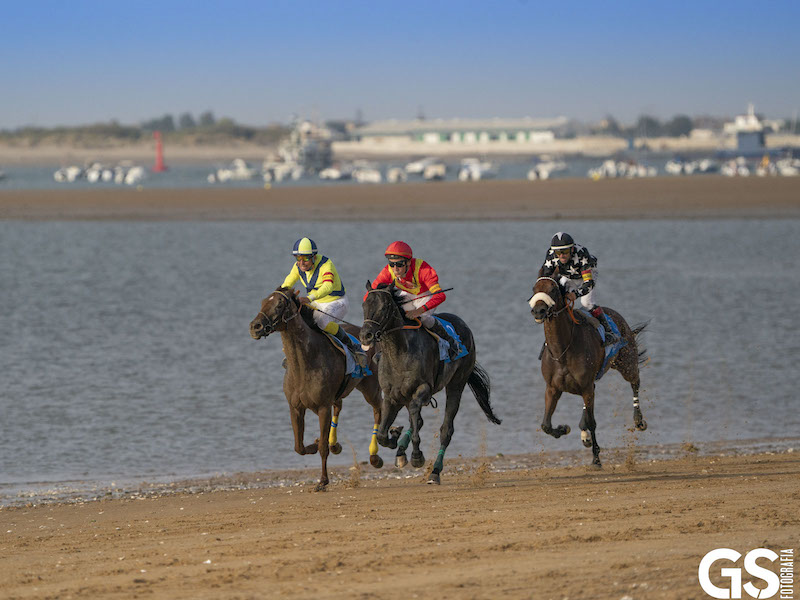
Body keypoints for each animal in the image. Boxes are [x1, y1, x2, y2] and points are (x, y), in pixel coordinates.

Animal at [248, 288, 390, 490]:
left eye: (279, 304)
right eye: (262, 302)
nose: (255, 326)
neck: (304, 364)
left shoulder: (323, 407)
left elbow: (322, 447)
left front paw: (323, 481)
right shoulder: (295, 407)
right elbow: (298, 446)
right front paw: (314, 444)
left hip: (370, 388)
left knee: (378, 409)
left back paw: (374, 456)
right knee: (339, 407)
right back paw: (335, 444)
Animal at [360, 284, 500, 486]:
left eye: (385, 307)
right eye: (364, 305)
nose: (366, 335)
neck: (399, 353)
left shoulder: (423, 389)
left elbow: (415, 416)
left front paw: (417, 456)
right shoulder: (391, 396)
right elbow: (382, 435)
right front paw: (395, 440)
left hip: (456, 385)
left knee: (445, 430)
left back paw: (434, 472)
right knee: (417, 420)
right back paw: (401, 450)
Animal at [528, 276, 648, 468]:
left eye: (553, 290)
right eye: (534, 289)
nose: (538, 311)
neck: (562, 350)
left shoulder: (585, 387)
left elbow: (593, 423)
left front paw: (596, 458)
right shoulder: (553, 388)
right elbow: (545, 425)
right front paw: (563, 429)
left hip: (626, 363)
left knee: (635, 382)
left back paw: (638, 420)